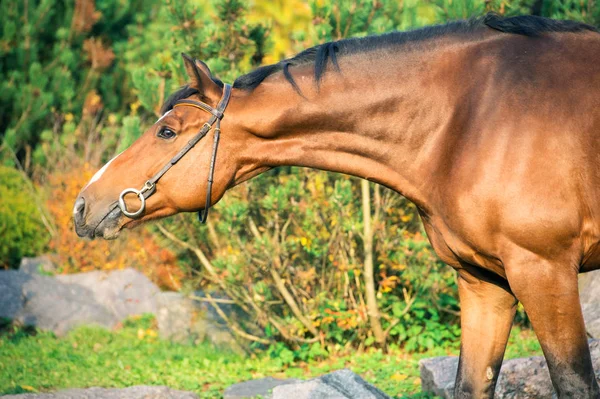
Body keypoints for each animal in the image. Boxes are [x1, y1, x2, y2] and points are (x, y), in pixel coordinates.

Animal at [74, 14, 600, 398]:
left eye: (166, 131)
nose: (83, 205)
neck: (474, 116)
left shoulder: (543, 271)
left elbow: (575, 384)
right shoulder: (483, 282)